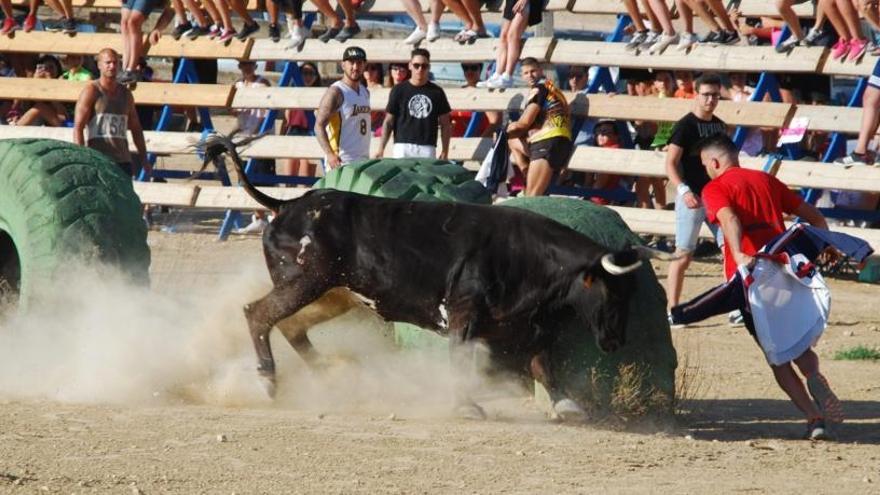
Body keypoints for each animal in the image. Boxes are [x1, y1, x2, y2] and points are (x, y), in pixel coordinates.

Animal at [203, 135, 672, 418]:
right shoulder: (463, 316)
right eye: (610, 293)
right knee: (258, 314)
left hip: (334, 293)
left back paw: (331, 374)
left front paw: (566, 404)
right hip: (305, 283)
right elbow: (461, 362)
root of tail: (287, 204)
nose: (614, 342)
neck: (525, 256)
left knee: (291, 326)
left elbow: (543, 365)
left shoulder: (528, 325)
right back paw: (268, 381)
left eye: (632, 293)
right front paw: (467, 406)